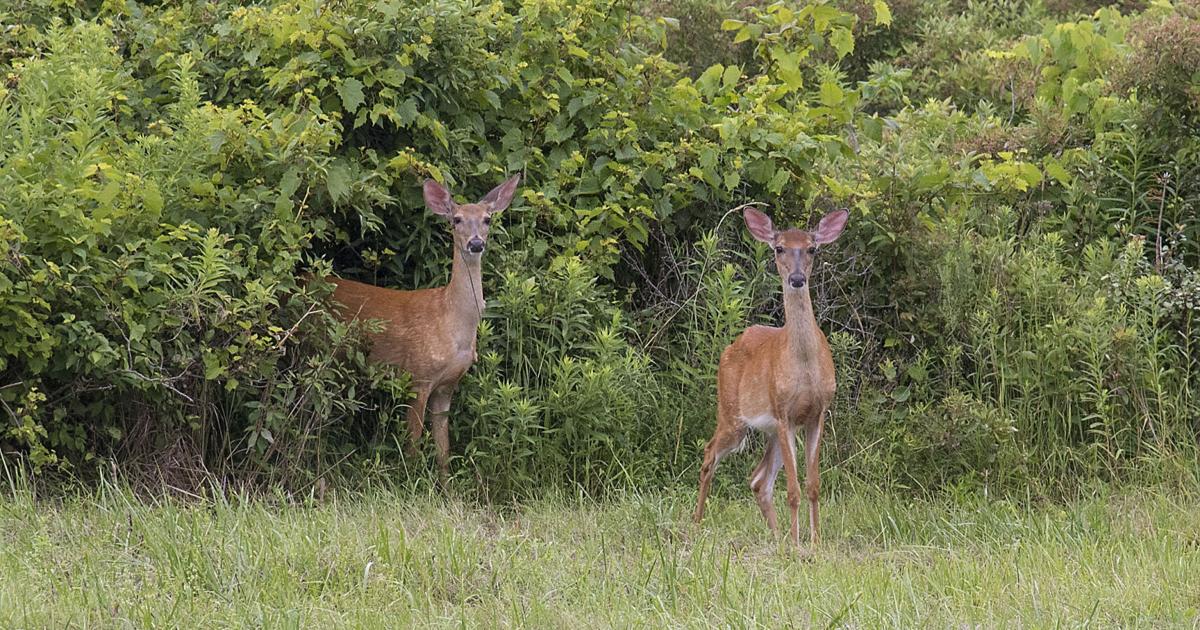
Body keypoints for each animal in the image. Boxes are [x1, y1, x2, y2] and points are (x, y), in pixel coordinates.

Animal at [327, 175, 520, 482]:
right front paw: (410, 481)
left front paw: (446, 487)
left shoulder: (447, 386)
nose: (476, 243)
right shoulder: (417, 376)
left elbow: (443, 449)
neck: (454, 325)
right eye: (456, 219)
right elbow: (413, 443)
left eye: (487, 219)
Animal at [692, 206, 849, 548]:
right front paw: (800, 543)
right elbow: (793, 489)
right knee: (709, 455)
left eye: (812, 249)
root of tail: (730, 347)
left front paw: (814, 542)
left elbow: (813, 485)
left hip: (771, 431)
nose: (797, 278)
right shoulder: (784, 412)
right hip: (732, 415)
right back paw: (695, 524)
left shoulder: (817, 413)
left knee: (757, 480)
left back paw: (779, 538)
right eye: (778, 248)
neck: (804, 366)